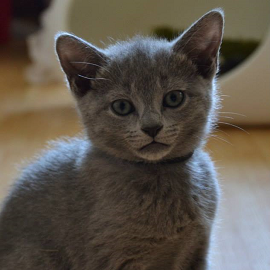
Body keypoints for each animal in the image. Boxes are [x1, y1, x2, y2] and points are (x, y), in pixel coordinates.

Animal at [0, 10, 224, 270]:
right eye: (122, 107)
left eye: (174, 98)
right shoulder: (118, 260)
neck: (159, 173)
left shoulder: (198, 249)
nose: (152, 127)